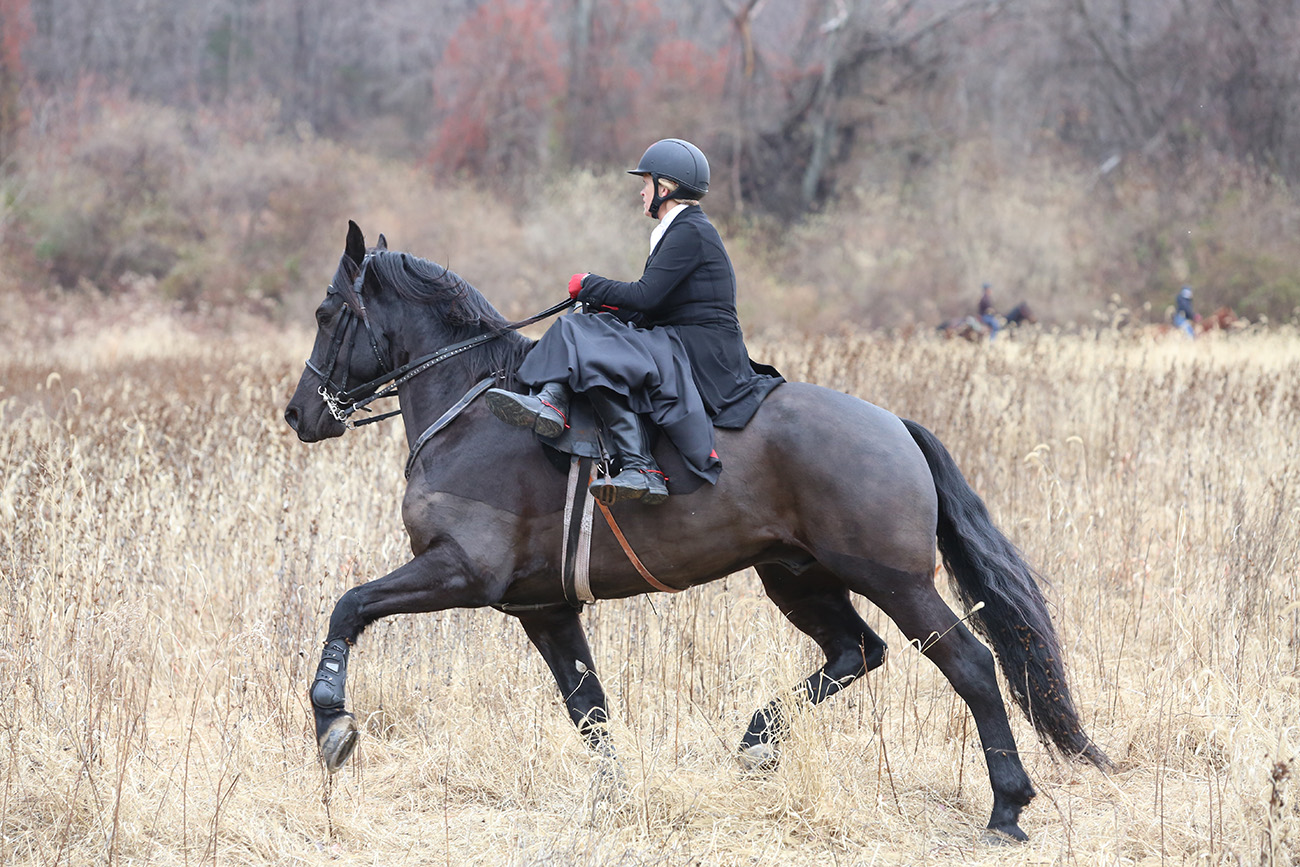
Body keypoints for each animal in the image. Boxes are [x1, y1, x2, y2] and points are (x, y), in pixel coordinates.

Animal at [283, 222, 1109, 842]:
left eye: (326, 315)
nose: (299, 414)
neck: (476, 408)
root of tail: (893, 424)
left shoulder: (458, 571)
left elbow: (348, 606)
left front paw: (331, 720)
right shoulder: (544, 609)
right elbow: (590, 711)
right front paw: (616, 801)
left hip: (893, 580)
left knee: (969, 664)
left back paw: (1007, 806)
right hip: (797, 576)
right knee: (857, 650)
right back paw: (758, 740)